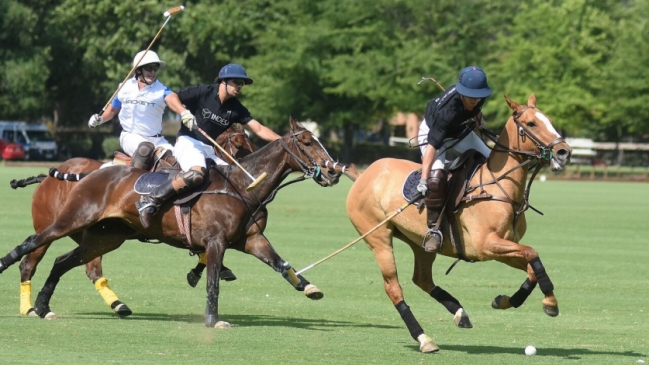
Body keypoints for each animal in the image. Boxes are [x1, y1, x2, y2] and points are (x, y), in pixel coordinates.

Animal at [1, 117, 344, 328]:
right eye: (307, 142)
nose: (333, 171)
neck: (240, 185)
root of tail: (87, 173)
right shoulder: (216, 241)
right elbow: (212, 280)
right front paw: (213, 320)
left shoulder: (250, 239)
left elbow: (279, 262)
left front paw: (309, 287)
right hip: (72, 219)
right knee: (31, 247)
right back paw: (17, 282)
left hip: (105, 236)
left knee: (65, 262)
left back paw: (45, 306)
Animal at [346, 94, 568, 352]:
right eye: (531, 123)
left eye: (549, 119)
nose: (564, 152)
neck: (498, 186)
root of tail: (364, 175)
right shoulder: (486, 245)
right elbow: (533, 253)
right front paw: (550, 302)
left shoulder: (503, 246)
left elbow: (532, 266)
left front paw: (506, 301)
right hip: (377, 237)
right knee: (393, 287)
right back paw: (423, 338)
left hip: (419, 243)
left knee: (422, 279)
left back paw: (459, 313)